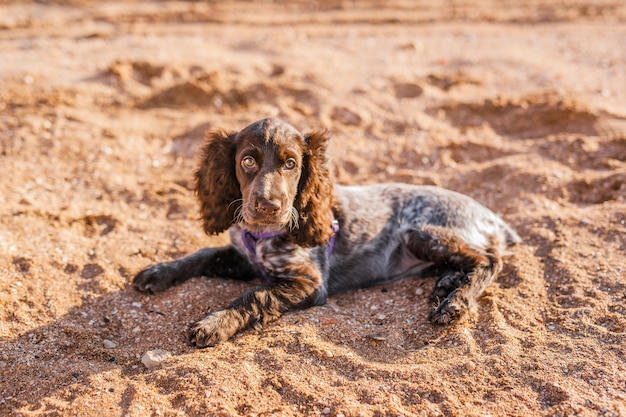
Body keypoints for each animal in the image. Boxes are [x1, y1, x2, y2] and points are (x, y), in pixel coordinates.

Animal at [134, 117, 520, 344]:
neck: (263, 236)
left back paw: (455, 301)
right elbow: (203, 254)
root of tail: (490, 215)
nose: (268, 206)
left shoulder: (308, 282)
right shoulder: (242, 258)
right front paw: (158, 272)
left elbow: (255, 296)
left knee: (489, 260)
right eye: (248, 161)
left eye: (291, 164)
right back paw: (446, 283)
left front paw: (215, 323)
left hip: (420, 231)